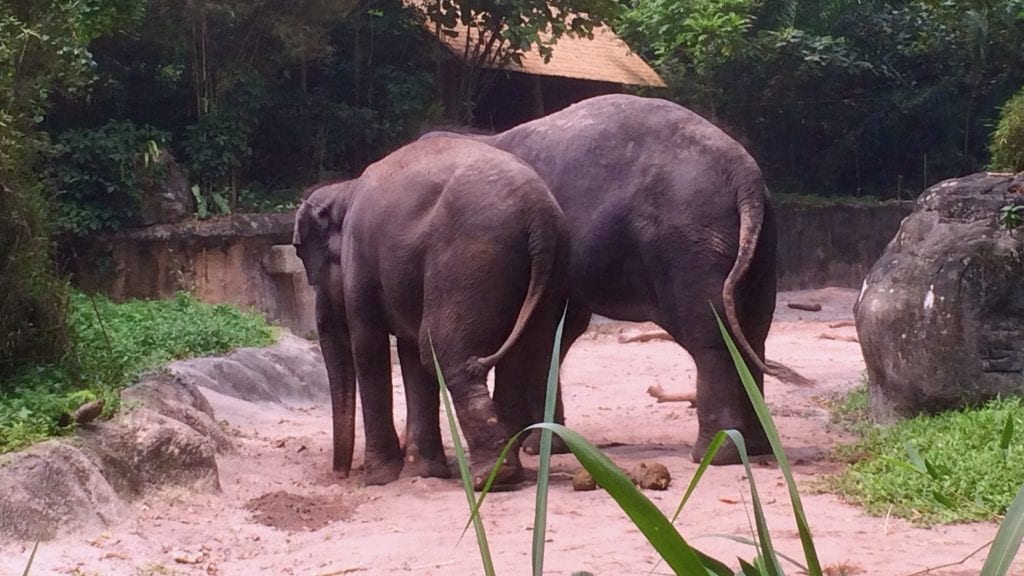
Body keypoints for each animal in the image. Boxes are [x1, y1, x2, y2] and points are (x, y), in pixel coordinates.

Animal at [292, 136, 573, 485]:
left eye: (302, 256)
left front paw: (380, 477)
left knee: (443, 351)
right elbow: (409, 354)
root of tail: (539, 215)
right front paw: (424, 471)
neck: (346, 188)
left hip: (467, 260)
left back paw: (492, 477)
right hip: (552, 270)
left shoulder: (360, 259)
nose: (339, 476)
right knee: (534, 351)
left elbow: (370, 346)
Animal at [423, 93, 806, 461]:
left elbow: (542, 332)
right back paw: (757, 448)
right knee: (754, 328)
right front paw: (537, 445)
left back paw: (715, 455)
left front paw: (532, 445)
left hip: (690, 242)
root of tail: (744, 174)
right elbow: (555, 331)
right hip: (760, 244)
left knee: (710, 334)